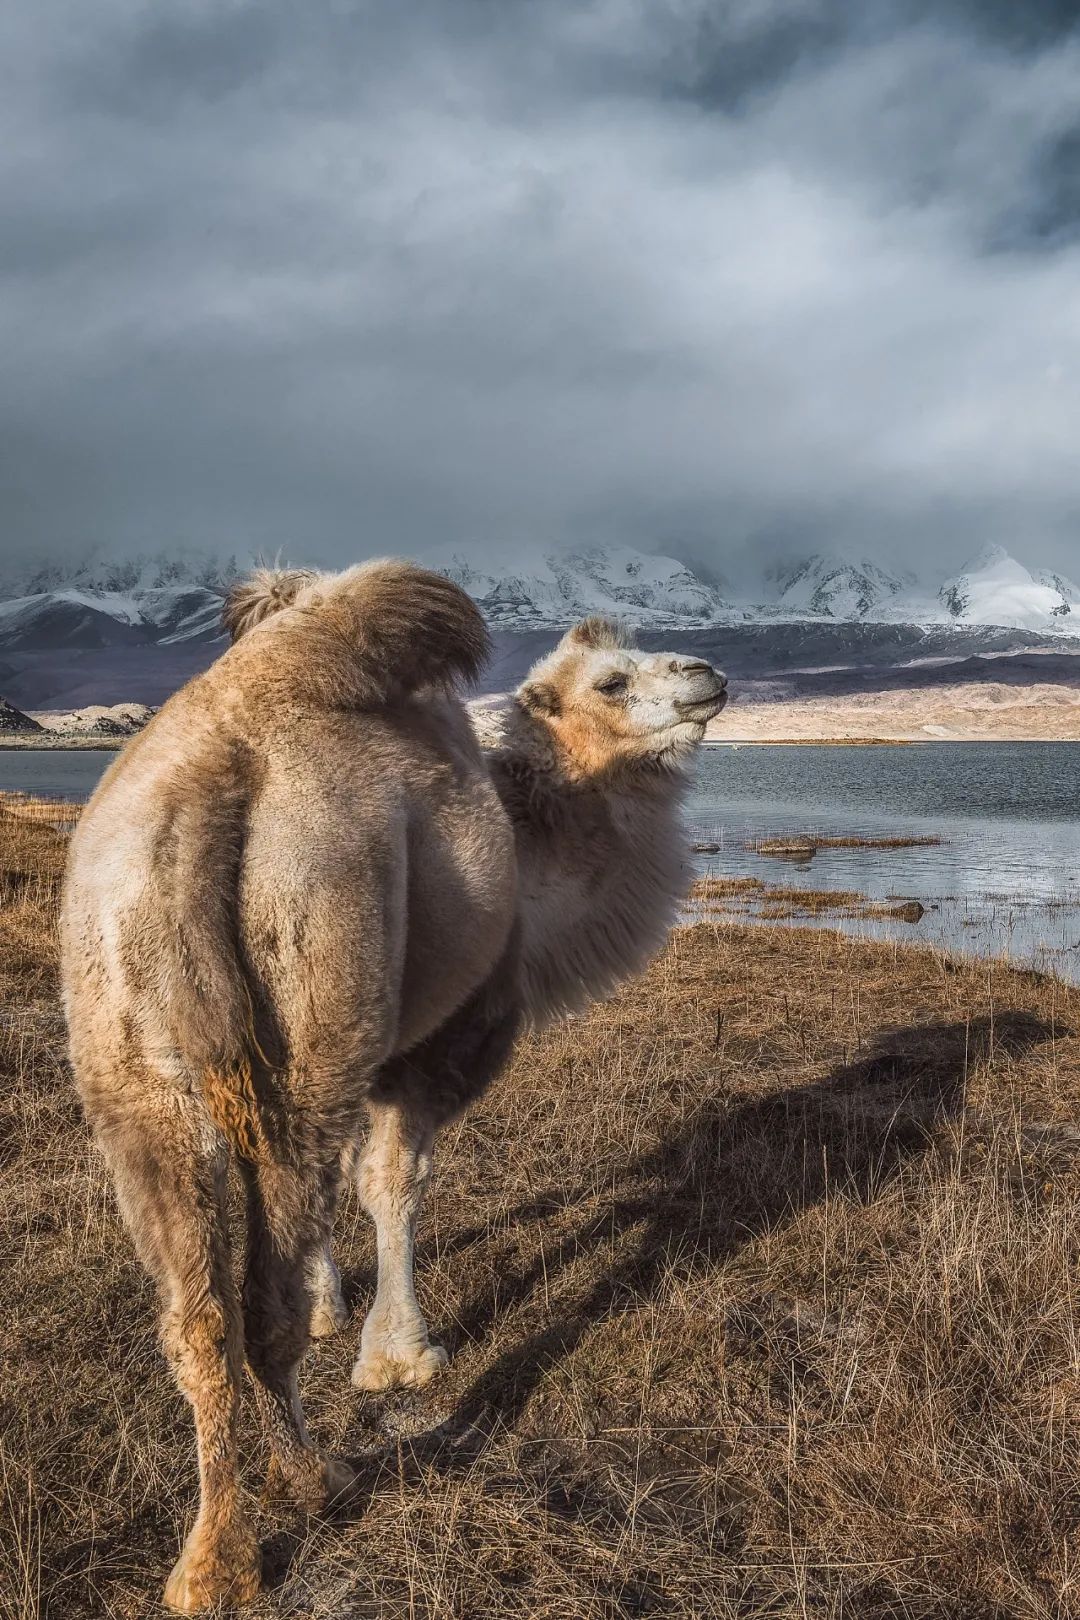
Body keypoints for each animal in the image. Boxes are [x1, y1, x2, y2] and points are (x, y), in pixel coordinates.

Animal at [63, 560, 731, 1607]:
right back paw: (310, 1483)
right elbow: (392, 1185)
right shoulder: (438, 1042)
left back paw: (208, 1564)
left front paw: (340, 1308)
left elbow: (340, 1191)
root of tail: (208, 777)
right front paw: (400, 1358)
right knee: (260, 1302)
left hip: (132, 1051)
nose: (707, 673)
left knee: (198, 1315)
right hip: (320, 959)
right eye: (612, 681)